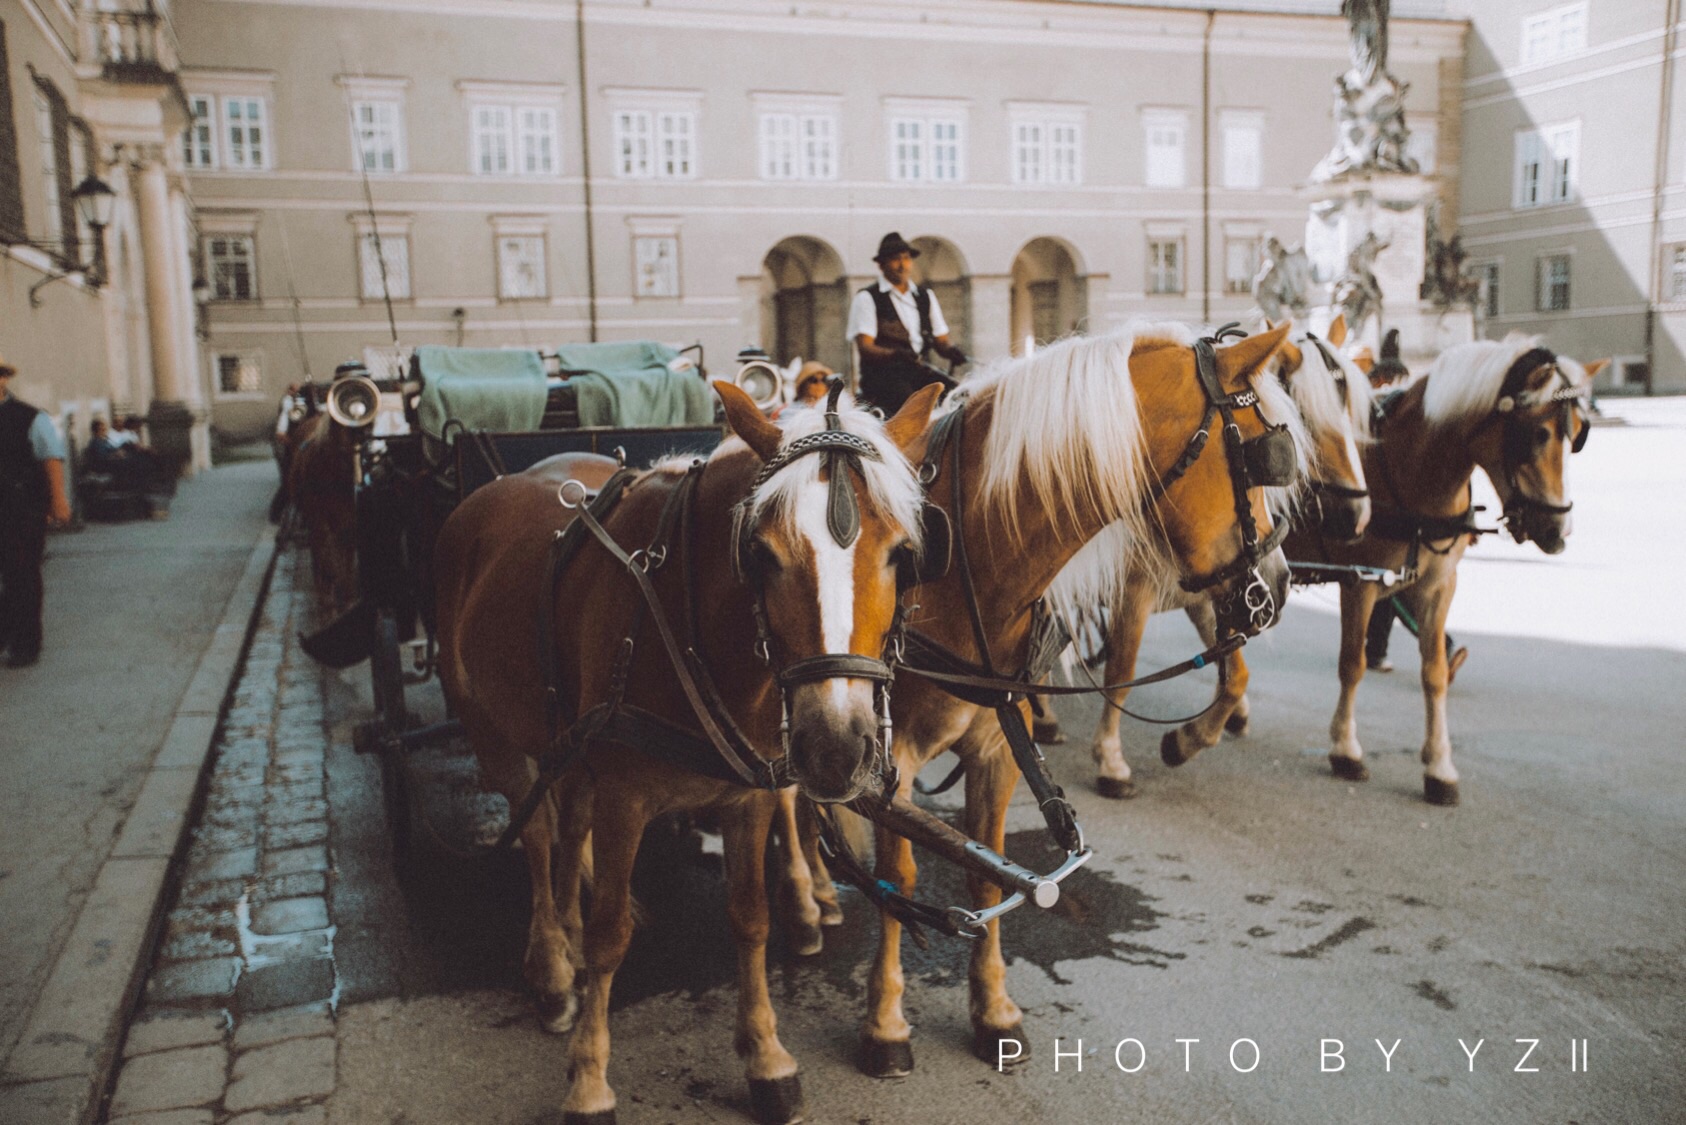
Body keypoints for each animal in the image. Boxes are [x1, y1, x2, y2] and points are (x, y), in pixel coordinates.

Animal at [434, 381, 944, 1125]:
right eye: (761, 554)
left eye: (903, 554)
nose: (834, 747)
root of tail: (487, 493)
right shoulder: (625, 799)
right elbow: (611, 932)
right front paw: (589, 1078)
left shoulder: (748, 794)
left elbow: (750, 917)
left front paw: (766, 1057)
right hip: (494, 735)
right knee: (536, 836)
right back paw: (554, 967)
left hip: (572, 745)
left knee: (568, 826)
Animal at [856, 320, 1301, 1079]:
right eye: (1257, 452)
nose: (1278, 581)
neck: (958, 553)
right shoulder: (892, 762)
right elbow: (900, 876)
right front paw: (885, 1024)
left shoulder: (997, 745)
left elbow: (988, 874)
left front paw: (994, 1011)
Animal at [1058, 312, 1375, 796]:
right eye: (1303, 412)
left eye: (1348, 406)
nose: (1358, 515)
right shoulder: (1135, 591)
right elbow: (1121, 670)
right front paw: (1110, 759)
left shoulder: (1218, 591)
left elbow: (1236, 675)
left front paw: (1189, 738)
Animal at [1281, 339, 1598, 806]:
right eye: (1537, 434)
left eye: (1577, 437)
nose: (1559, 531)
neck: (1408, 466)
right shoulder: (1361, 580)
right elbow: (1352, 664)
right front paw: (1345, 749)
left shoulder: (1438, 586)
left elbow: (1434, 675)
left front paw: (1439, 767)